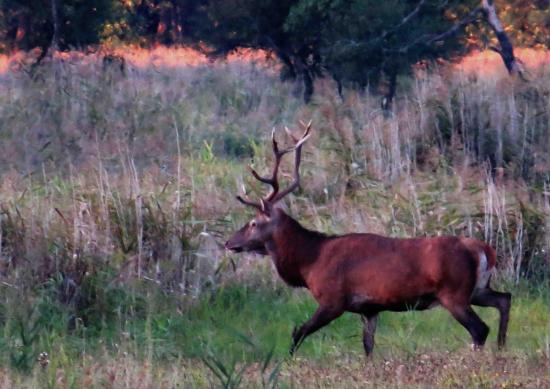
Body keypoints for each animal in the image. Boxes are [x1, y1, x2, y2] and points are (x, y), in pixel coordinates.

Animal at [224, 123, 512, 356]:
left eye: (253, 223)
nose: (228, 242)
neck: (309, 263)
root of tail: (484, 249)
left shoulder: (333, 299)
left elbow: (299, 332)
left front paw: (289, 362)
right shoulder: (369, 308)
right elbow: (368, 346)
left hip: (454, 292)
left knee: (479, 328)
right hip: (477, 288)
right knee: (504, 299)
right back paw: (500, 350)